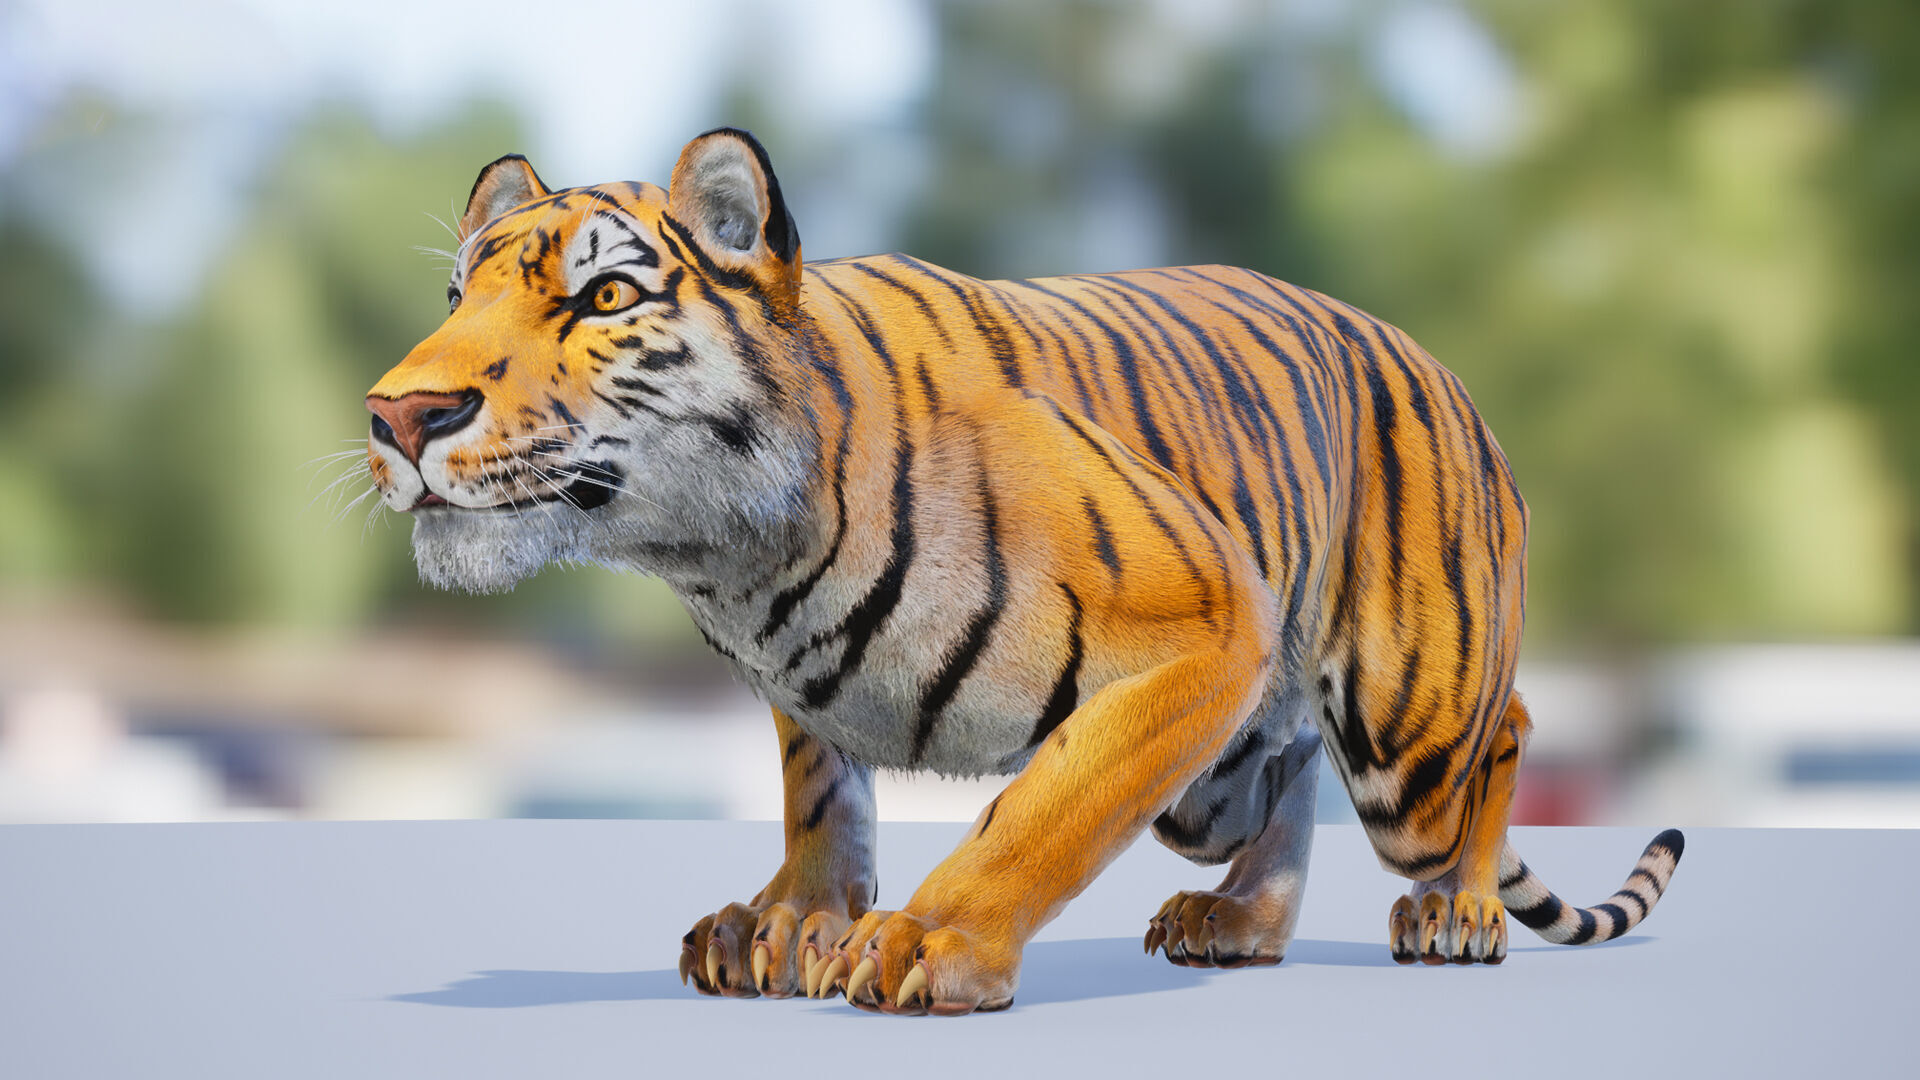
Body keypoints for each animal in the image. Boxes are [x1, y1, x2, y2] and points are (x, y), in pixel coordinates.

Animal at [362, 127, 1685, 1015]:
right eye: (455, 294)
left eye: (605, 296)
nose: (399, 414)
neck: (736, 556)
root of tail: (1447, 371)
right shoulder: (804, 683)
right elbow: (823, 796)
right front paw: (787, 923)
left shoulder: (1211, 619)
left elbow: (1046, 808)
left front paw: (923, 942)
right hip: (1219, 788)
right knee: (1289, 767)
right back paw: (1240, 922)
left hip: (1410, 729)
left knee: (1503, 733)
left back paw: (1456, 906)